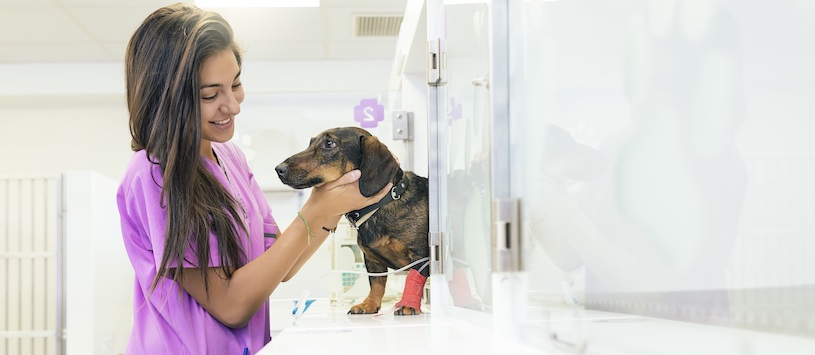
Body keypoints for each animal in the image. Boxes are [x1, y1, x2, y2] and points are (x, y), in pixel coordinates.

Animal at [276, 126, 430, 316]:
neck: (382, 205)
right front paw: (369, 305)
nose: (278, 169)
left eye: (329, 143)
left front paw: (409, 305)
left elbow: (415, 278)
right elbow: (376, 285)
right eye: (310, 142)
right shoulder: (372, 261)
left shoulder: (420, 256)